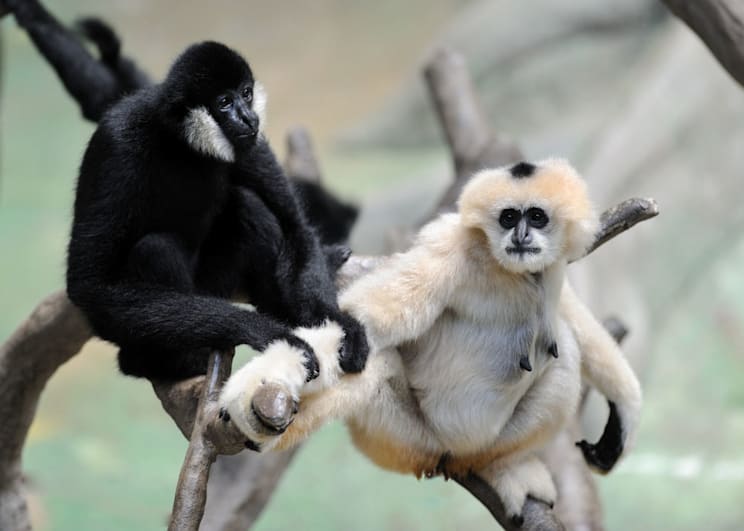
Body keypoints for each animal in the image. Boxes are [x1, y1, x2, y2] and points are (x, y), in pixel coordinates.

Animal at [66, 41, 368, 381]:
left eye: (246, 93)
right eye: (224, 102)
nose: (248, 117)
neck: (182, 142)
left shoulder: (251, 141)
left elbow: (295, 227)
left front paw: (342, 326)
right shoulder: (116, 143)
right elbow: (91, 287)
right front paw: (268, 333)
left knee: (248, 206)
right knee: (155, 247)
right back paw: (166, 360)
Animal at [218, 159, 642, 522]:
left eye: (536, 216)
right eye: (508, 217)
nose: (520, 235)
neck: (511, 273)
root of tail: (456, 452)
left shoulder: (549, 268)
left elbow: (569, 309)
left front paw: (623, 412)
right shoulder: (450, 251)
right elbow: (362, 324)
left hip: (491, 439)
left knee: (564, 349)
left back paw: (499, 466)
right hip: (407, 440)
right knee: (378, 363)